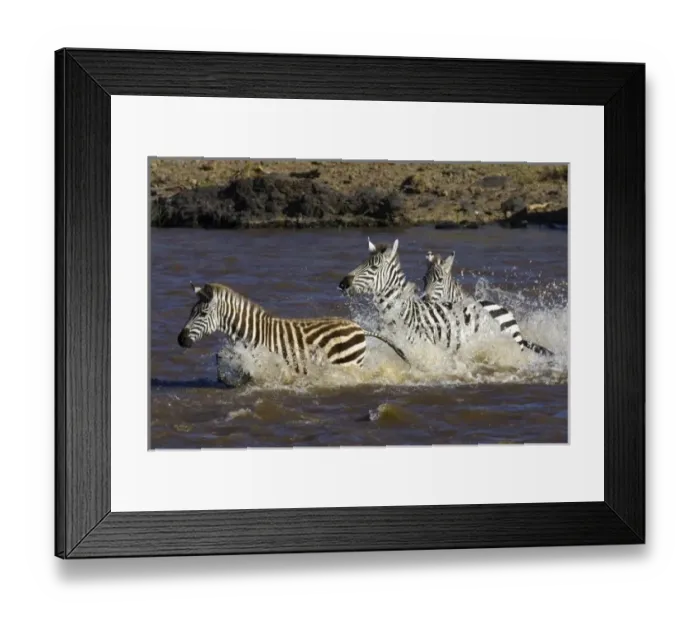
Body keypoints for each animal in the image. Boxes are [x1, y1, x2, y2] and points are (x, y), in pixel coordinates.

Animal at [177, 282, 409, 378]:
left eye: (202, 314)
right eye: (190, 312)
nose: (180, 340)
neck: (252, 333)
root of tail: (359, 327)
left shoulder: (263, 359)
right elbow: (221, 357)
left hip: (349, 363)